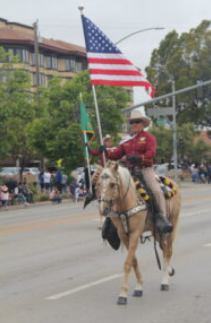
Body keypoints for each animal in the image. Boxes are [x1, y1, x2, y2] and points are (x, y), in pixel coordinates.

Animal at [94, 162, 181, 306]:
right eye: (98, 184)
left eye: (112, 184)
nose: (103, 210)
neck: (127, 202)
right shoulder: (124, 235)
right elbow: (133, 261)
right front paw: (139, 287)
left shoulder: (135, 233)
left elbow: (127, 263)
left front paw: (123, 295)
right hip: (157, 231)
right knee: (165, 250)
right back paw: (169, 272)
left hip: (171, 226)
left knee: (168, 251)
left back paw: (164, 282)